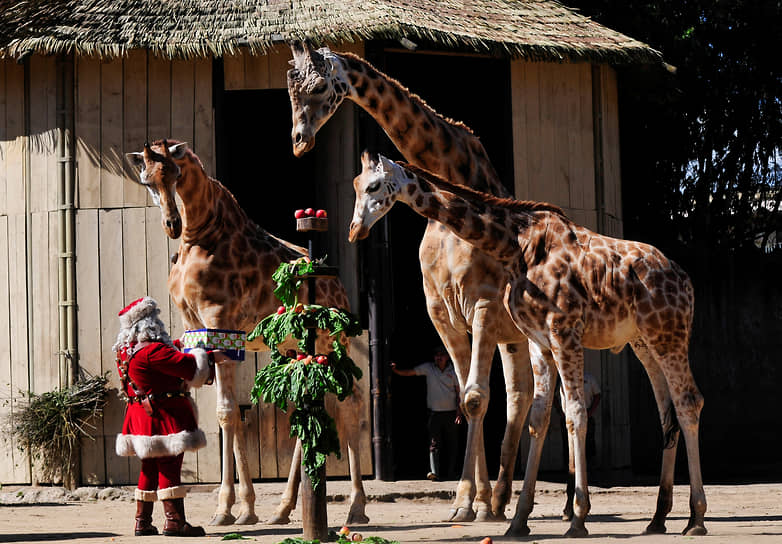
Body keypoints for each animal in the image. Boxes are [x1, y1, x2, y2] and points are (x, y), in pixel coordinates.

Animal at [127, 139, 372, 528]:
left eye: (176, 174)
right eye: (147, 180)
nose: (172, 224)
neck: (201, 236)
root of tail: (337, 284)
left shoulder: (220, 320)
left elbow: (227, 413)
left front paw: (226, 509)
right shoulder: (197, 329)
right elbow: (226, 414)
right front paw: (246, 508)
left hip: (331, 339)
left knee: (350, 402)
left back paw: (356, 508)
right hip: (292, 345)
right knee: (305, 400)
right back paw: (284, 509)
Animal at [290, 39, 536, 524]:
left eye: (320, 86)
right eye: (291, 88)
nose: (299, 142)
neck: (455, 172)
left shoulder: (482, 304)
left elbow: (476, 397)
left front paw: (470, 501)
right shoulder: (441, 311)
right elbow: (466, 397)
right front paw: (470, 501)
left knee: (530, 397)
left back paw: (524, 501)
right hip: (512, 337)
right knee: (521, 395)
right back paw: (500, 500)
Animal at [350, 153, 712, 540]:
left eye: (374, 186)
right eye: (355, 186)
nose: (355, 230)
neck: (514, 245)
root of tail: (685, 280)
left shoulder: (564, 332)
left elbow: (576, 413)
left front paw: (578, 518)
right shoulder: (540, 342)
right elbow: (539, 419)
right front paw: (519, 520)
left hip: (670, 332)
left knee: (689, 402)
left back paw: (696, 518)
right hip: (644, 341)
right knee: (668, 412)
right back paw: (658, 518)